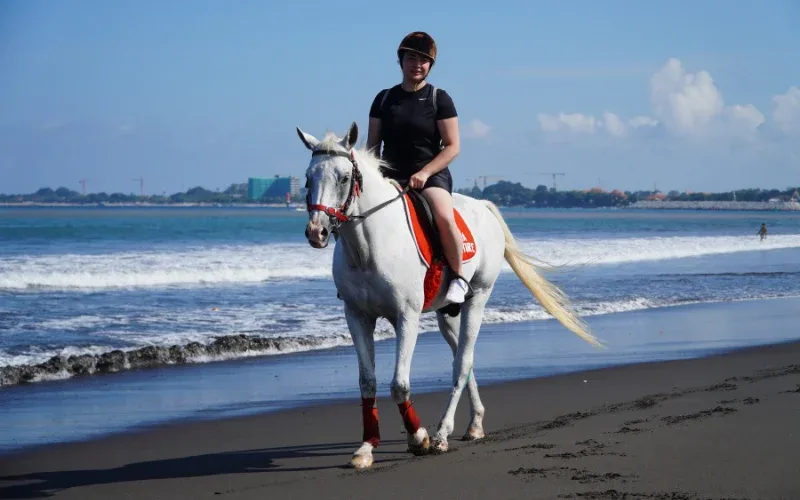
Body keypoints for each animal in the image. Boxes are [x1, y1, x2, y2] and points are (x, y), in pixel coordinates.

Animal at [296, 121, 603, 469]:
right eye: (307, 178)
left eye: (344, 177)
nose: (317, 232)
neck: (369, 247)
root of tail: (484, 206)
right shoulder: (357, 316)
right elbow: (367, 382)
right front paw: (366, 448)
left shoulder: (406, 316)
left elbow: (399, 384)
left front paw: (419, 438)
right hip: (447, 314)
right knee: (463, 360)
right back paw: (474, 424)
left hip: (477, 298)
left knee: (462, 362)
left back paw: (442, 434)